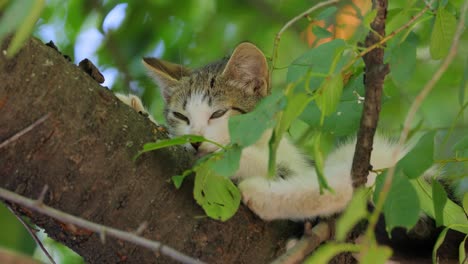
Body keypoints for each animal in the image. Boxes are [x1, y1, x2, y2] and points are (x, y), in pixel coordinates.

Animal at [116, 42, 406, 221]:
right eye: (180, 116)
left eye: (218, 114)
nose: (196, 141)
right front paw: (133, 105)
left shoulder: (291, 164)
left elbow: (268, 164)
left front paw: (218, 156)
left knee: (344, 184)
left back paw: (260, 194)